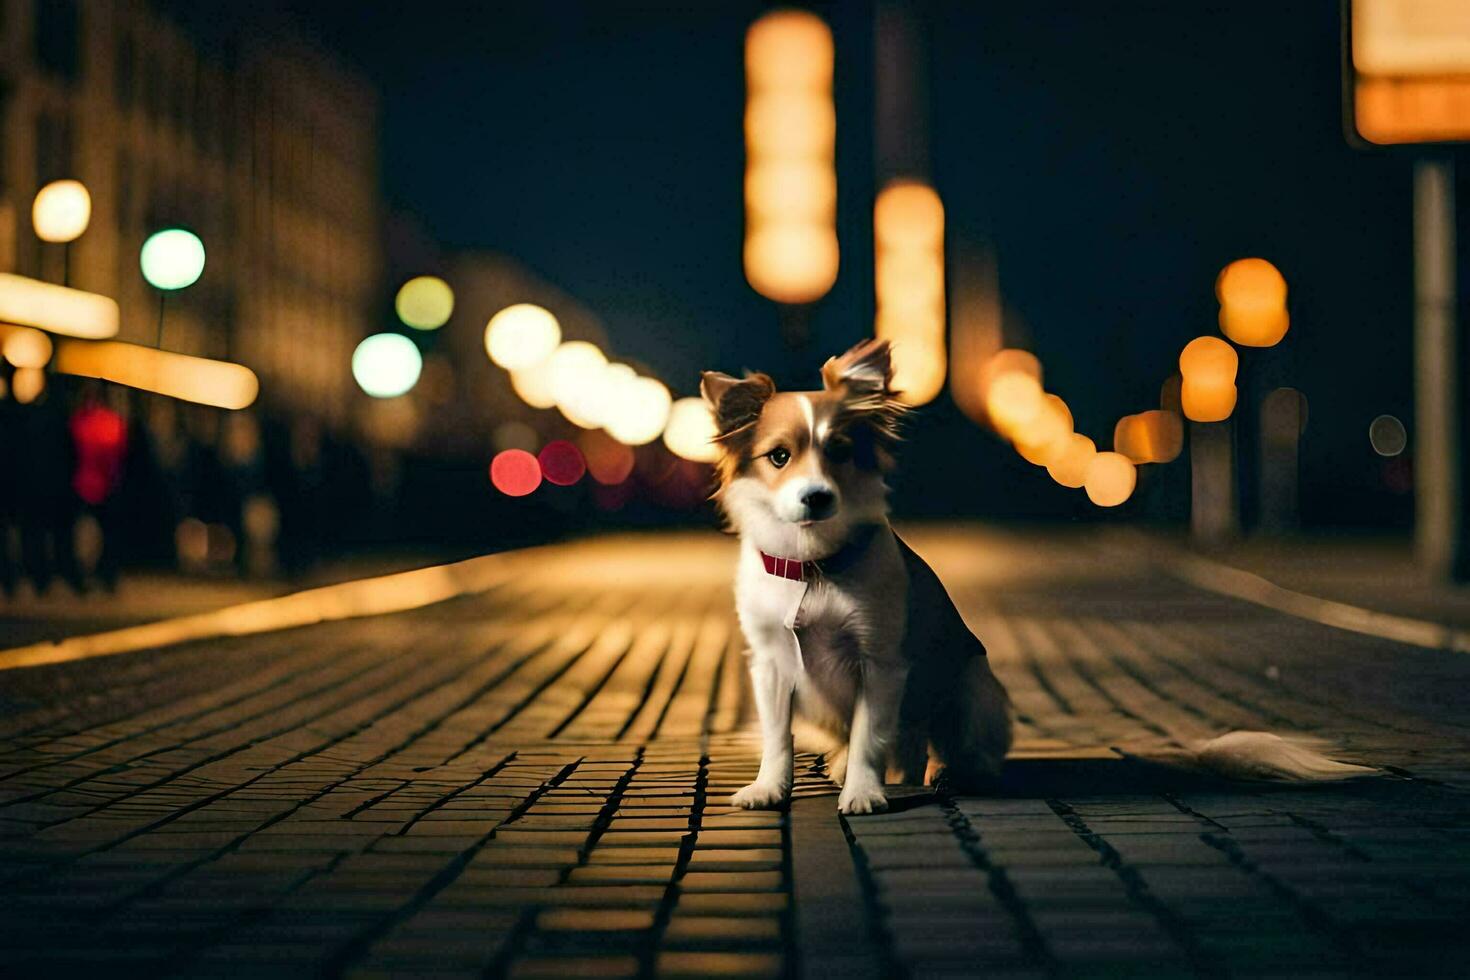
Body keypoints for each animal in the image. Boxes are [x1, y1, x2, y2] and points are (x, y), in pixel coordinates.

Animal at [699, 340, 1011, 816]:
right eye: (779, 456)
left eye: (841, 451)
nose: (817, 496)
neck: (812, 567)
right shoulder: (770, 663)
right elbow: (777, 739)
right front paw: (769, 787)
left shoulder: (880, 661)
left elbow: (870, 734)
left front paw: (863, 792)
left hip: (974, 686)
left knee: (949, 743)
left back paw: (950, 770)